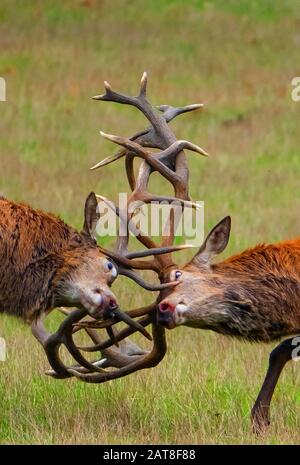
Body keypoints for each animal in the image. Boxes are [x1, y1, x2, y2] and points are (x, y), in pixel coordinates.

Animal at [157, 216, 300, 434]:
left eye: (178, 274)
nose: (161, 310)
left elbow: (281, 349)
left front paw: (260, 420)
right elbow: (280, 351)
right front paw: (260, 420)